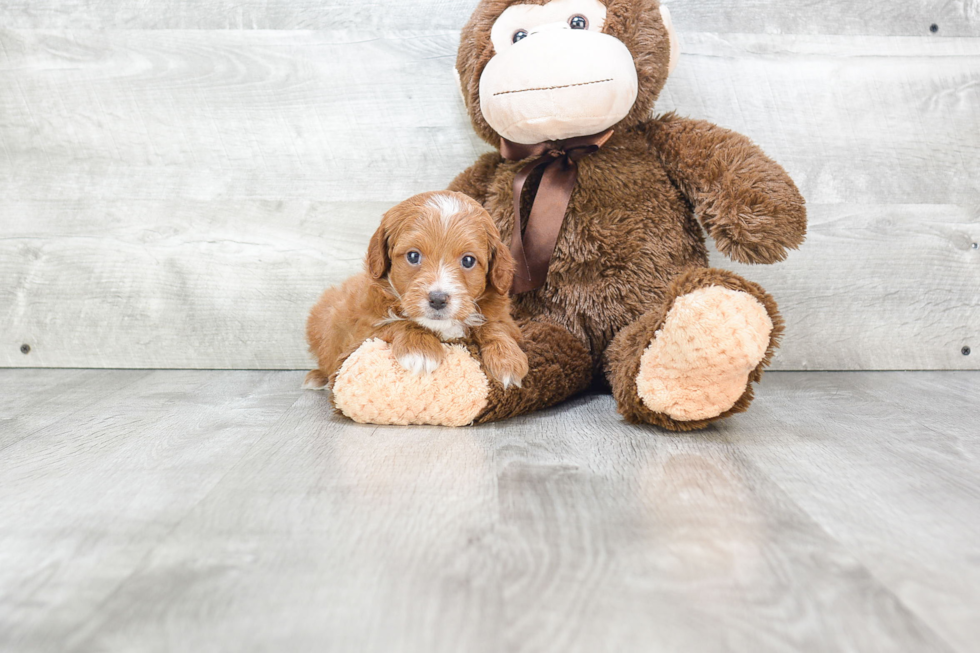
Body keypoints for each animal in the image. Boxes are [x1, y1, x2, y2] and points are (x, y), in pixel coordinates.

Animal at [304, 190, 528, 392]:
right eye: (413, 256)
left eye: (468, 260)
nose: (437, 299)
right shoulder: (360, 335)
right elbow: (398, 323)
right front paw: (420, 350)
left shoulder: (507, 321)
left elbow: (494, 326)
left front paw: (507, 359)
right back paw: (316, 378)